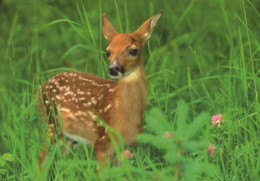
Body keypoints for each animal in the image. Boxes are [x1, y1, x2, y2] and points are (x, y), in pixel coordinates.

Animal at [37, 10, 161, 167]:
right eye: (108, 52)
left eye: (133, 51)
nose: (113, 69)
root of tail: (41, 87)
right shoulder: (102, 142)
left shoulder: (124, 146)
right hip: (52, 123)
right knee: (42, 157)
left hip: (68, 137)